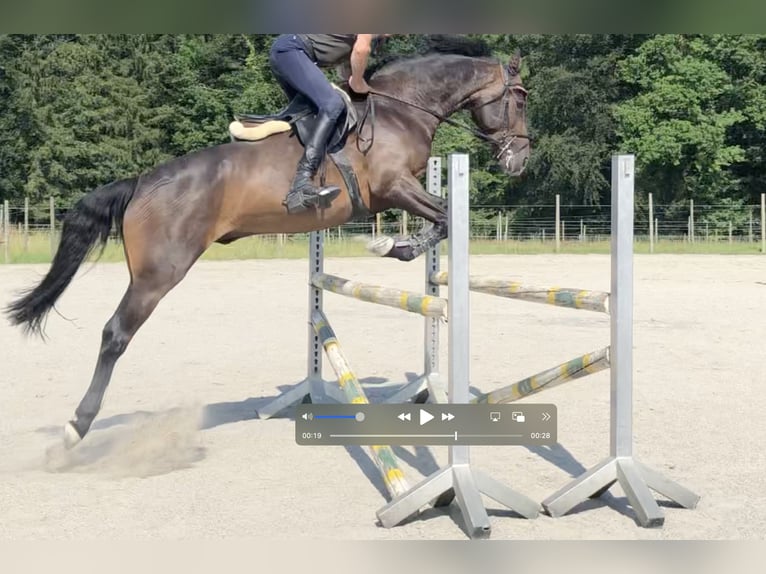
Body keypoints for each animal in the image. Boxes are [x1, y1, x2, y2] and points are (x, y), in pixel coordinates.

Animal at [3, 46, 532, 450]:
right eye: (521, 99)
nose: (520, 162)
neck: (402, 109)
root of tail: (141, 183)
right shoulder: (393, 186)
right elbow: (443, 216)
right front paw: (392, 246)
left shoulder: (396, 191)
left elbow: (441, 219)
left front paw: (396, 245)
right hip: (158, 275)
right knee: (115, 334)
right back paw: (77, 426)